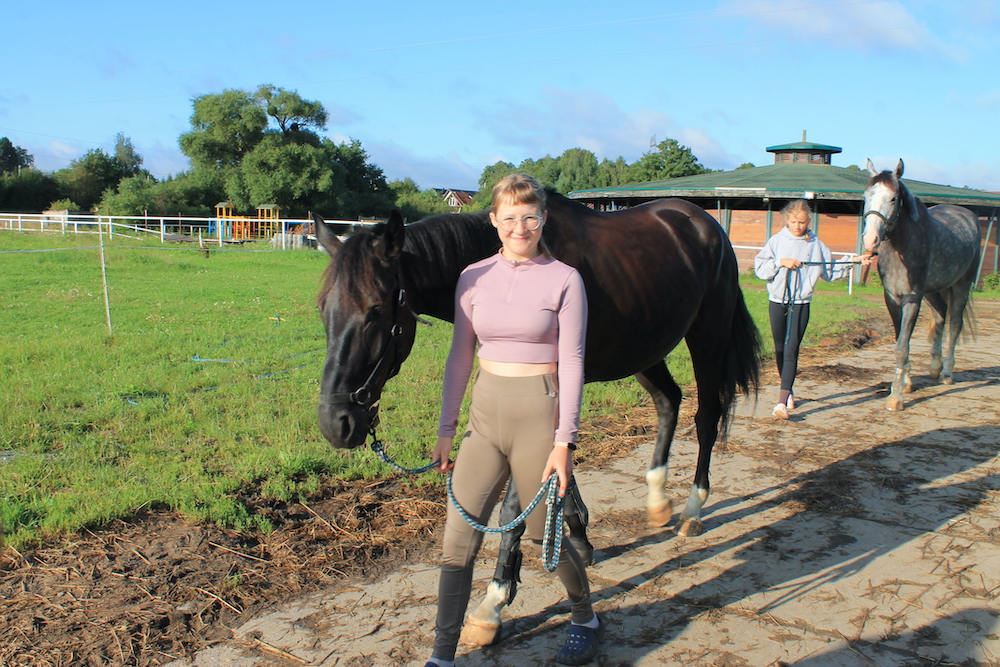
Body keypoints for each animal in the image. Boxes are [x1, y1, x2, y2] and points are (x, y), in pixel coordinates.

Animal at [314, 192, 761, 645]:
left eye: (374, 309)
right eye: (323, 309)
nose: (336, 423)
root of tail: (702, 221)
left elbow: (516, 504)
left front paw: (494, 601)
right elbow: (558, 474)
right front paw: (578, 537)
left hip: (707, 335)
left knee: (706, 418)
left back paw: (692, 511)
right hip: (645, 348)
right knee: (669, 401)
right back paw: (657, 501)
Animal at [862, 159, 981, 411]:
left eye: (893, 198)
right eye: (866, 195)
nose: (870, 240)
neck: (901, 246)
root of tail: (968, 215)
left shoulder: (912, 298)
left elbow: (902, 346)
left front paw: (896, 397)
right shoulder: (892, 299)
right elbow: (901, 340)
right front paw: (906, 382)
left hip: (961, 286)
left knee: (955, 324)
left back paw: (946, 373)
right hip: (934, 290)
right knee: (940, 315)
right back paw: (935, 367)